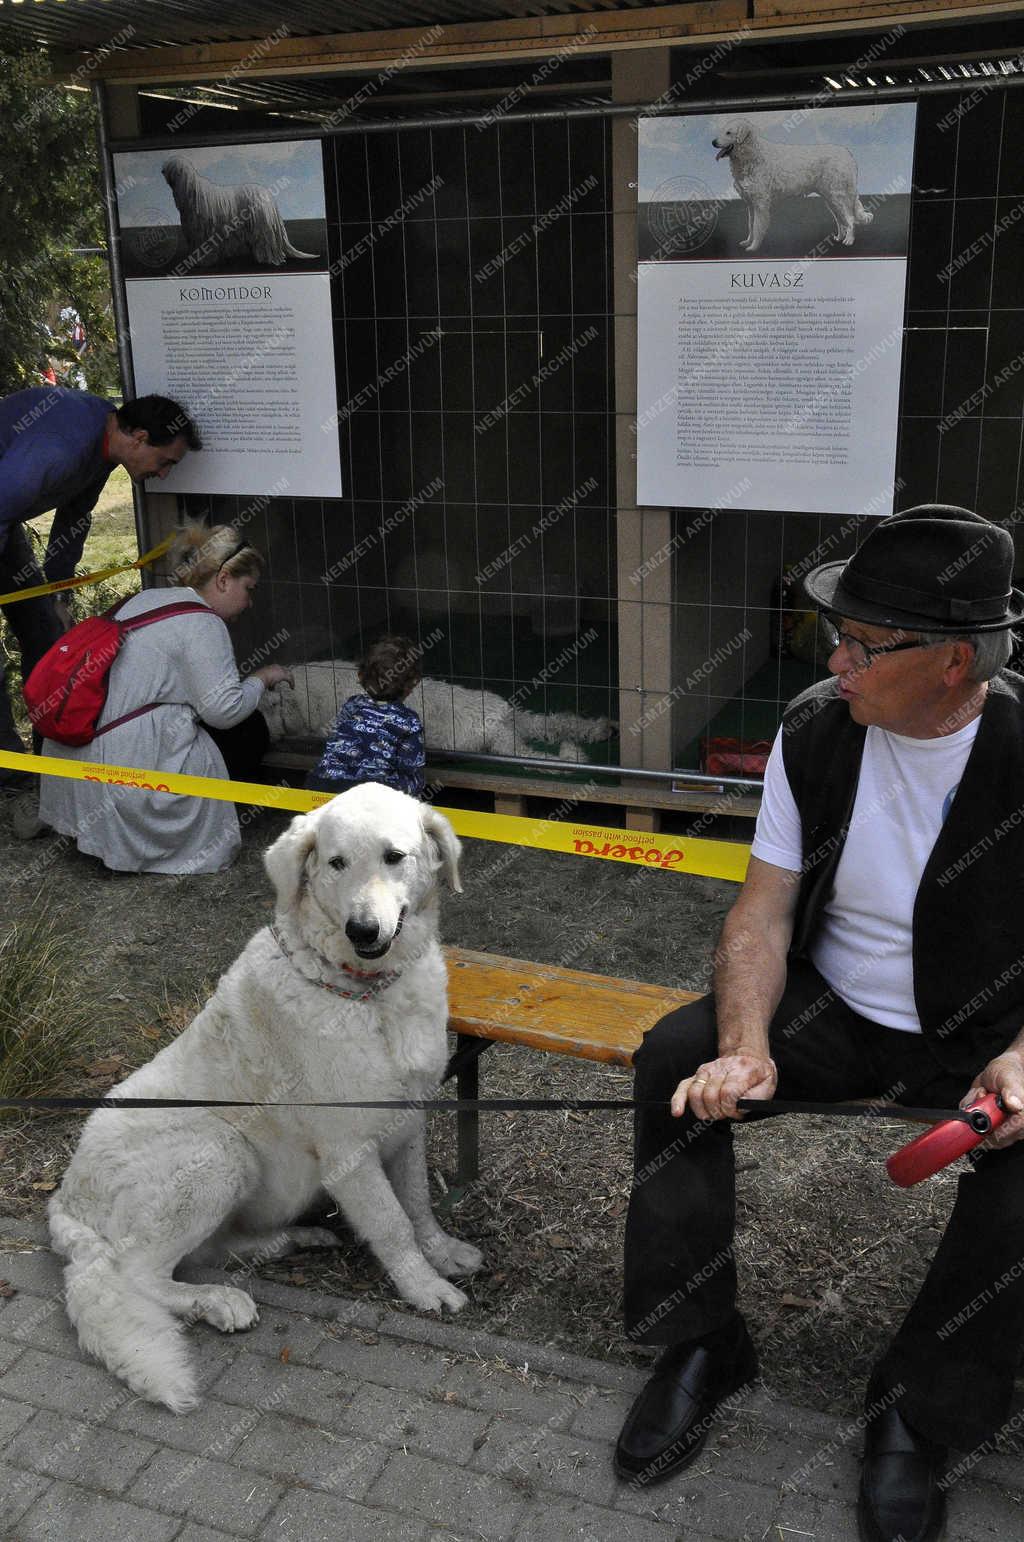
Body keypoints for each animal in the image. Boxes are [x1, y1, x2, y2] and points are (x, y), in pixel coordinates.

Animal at [52, 789, 487, 1412]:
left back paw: (291, 1240)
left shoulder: (409, 1121)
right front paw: (424, 1285)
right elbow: (391, 1222)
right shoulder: (349, 1148)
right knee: (133, 1273)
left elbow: (418, 1203)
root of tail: (64, 1202)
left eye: (394, 856)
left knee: (207, 1250)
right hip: (217, 1151)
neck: (366, 995)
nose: (362, 930)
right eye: (336, 863)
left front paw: (443, 1252)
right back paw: (216, 1300)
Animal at [262, 656, 616, 764]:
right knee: (558, 723)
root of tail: (503, 719)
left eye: (270, 708)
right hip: (521, 726)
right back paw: (601, 730)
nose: (270, 735)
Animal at [712, 117, 869, 252]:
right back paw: (839, 237)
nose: (713, 142)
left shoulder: (760, 203)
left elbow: (757, 227)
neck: (753, 154)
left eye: (728, 132)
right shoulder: (751, 203)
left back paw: (849, 240)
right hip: (830, 198)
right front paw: (748, 242)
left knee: (850, 219)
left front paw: (753, 247)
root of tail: (848, 155)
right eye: (722, 131)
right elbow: (750, 226)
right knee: (840, 220)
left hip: (838, 196)